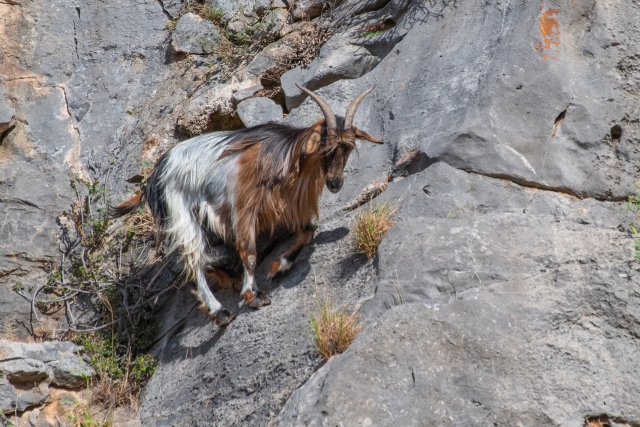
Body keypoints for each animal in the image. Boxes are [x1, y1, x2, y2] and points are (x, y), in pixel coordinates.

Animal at [110, 84, 382, 328]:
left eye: (348, 147)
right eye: (326, 147)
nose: (335, 183)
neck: (284, 156)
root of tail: (155, 172)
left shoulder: (293, 205)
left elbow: (307, 233)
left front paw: (279, 266)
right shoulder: (243, 206)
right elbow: (249, 251)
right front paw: (253, 294)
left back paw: (228, 276)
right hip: (181, 210)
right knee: (194, 259)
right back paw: (219, 311)